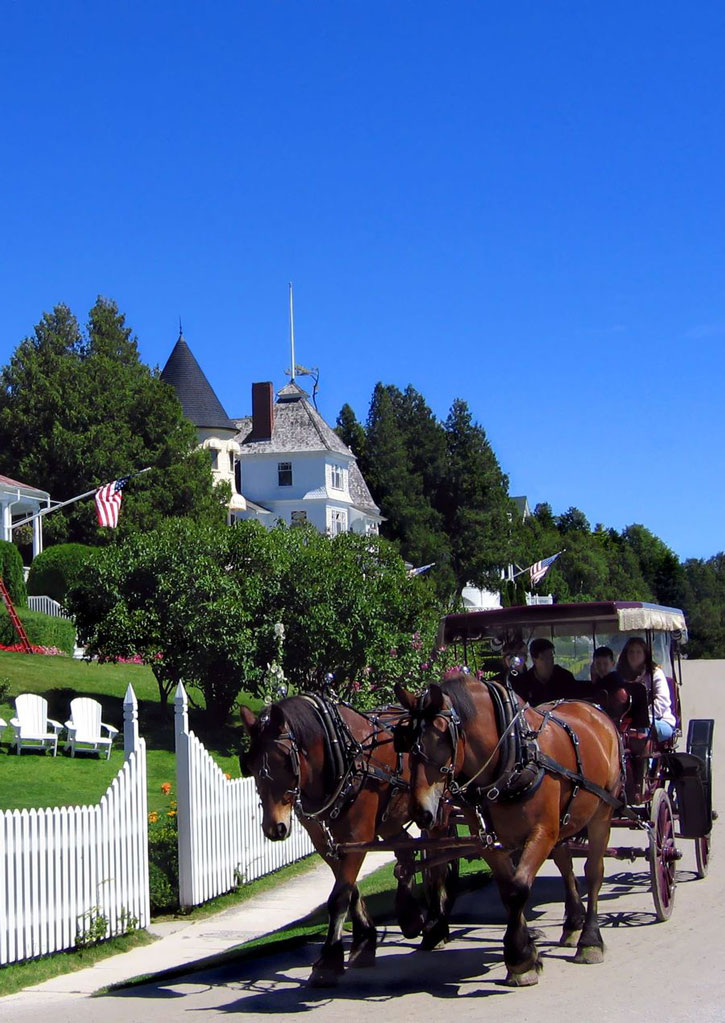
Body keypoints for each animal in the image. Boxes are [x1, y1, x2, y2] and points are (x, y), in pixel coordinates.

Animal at [240, 691, 456, 986]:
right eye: (250, 764)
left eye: (285, 759)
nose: (275, 828)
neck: (338, 755)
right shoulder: (325, 841)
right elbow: (349, 888)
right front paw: (364, 941)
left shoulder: (358, 836)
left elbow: (339, 895)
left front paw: (329, 960)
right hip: (389, 819)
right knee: (407, 852)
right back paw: (410, 915)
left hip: (437, 811)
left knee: (437, 865)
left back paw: (436, 925)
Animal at [396, 671, 621, 982]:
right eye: (405, 740)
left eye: (441, 736)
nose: (422, 811)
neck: (512, 757)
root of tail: (591, 708)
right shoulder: (487, 839)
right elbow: (507, 889)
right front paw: (524, 954)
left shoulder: (542, 832)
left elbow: (518, 889)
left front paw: (519, 958)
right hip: (564, 821)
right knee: (566, 865)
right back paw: (573, 924)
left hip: (602, 811)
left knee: (594, 871)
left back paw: (589, 940)